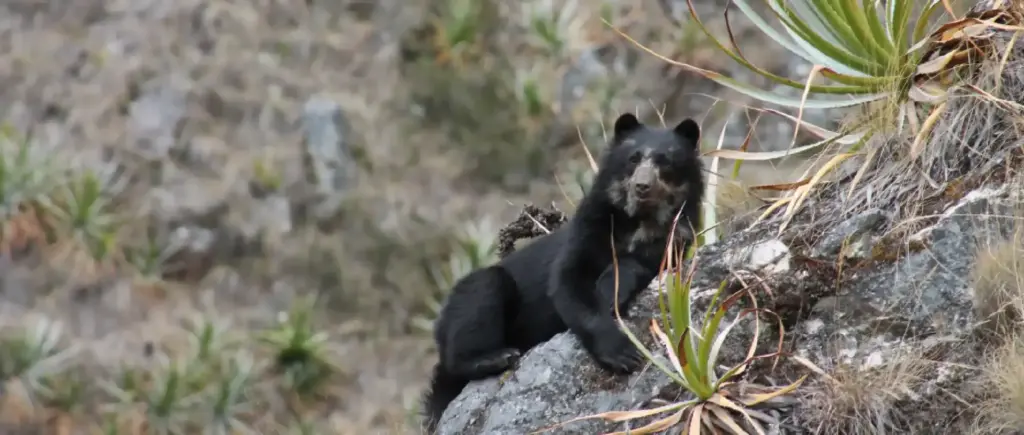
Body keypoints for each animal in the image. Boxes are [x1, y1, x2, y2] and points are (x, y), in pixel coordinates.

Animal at [420, 112, 705, 434]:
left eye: (666, 161)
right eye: (633, 158)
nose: (642, 186)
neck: (637, 222)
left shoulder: (675, 239)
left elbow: (641, 264)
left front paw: (610, 292)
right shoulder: (588, 230)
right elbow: (567, 282)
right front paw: (621, 352)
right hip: (468, 301)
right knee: (477, 305)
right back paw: (496, 357)